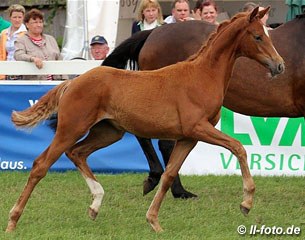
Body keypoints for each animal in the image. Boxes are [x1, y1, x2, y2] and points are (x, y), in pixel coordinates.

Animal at [7, 7, 282, 232]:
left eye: (268, 34)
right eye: (257, 36)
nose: (279, 65)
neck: (202, 76)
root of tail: (72, 82)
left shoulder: (188, 137)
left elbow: (169, 174)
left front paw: (153, 221)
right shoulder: (198, 128)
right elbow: (238, 147)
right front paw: (246, 202)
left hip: (108, 132)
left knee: (77, 153)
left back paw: (95, 204)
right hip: (71, 128)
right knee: (41, 164)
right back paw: (13, 220)